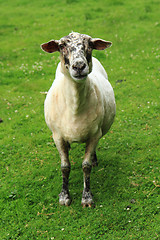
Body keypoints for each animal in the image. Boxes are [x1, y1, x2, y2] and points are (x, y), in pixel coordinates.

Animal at [41, 31, 116, 207]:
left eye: (90, 44)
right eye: (61, 45)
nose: (79, 66)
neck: (74, 107)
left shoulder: (94, 135)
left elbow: (86, 166)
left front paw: (87, 197)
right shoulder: (57, 136)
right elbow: (65, 167)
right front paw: (64, 196)